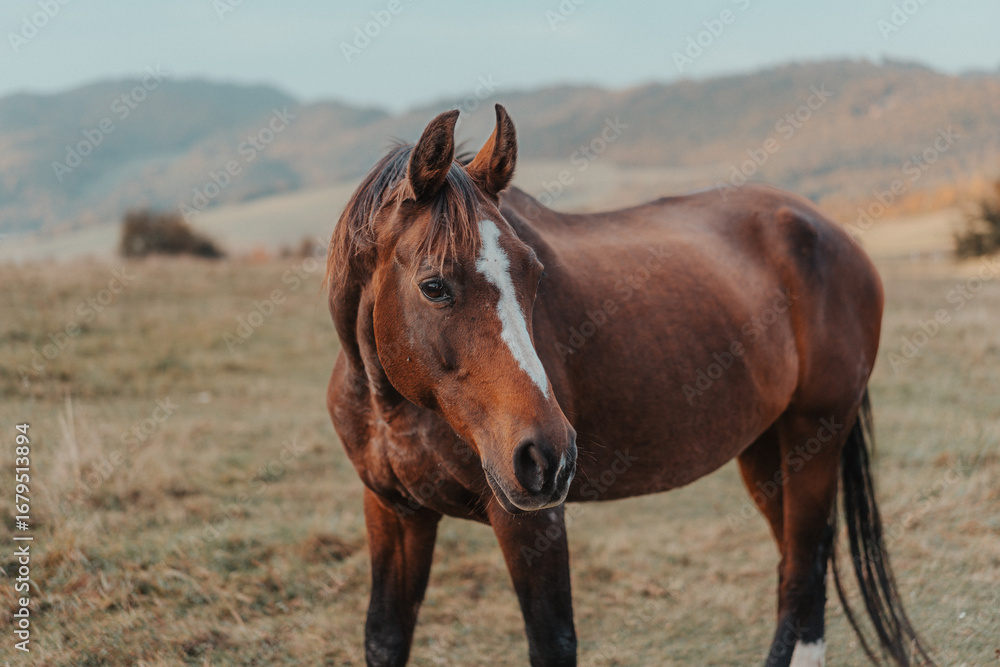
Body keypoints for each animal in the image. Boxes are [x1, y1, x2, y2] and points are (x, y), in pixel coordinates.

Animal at [324, 104, 933, 666]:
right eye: (433, 286)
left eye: (535, 274)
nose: (548, 457)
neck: (393, 409)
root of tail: (830, 232)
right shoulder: (394, 512)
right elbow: (384, 638)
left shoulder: (530, 522)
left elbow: (552, 642)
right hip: (768, 447)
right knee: (801, 560)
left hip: (816, 435)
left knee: (804, 568)